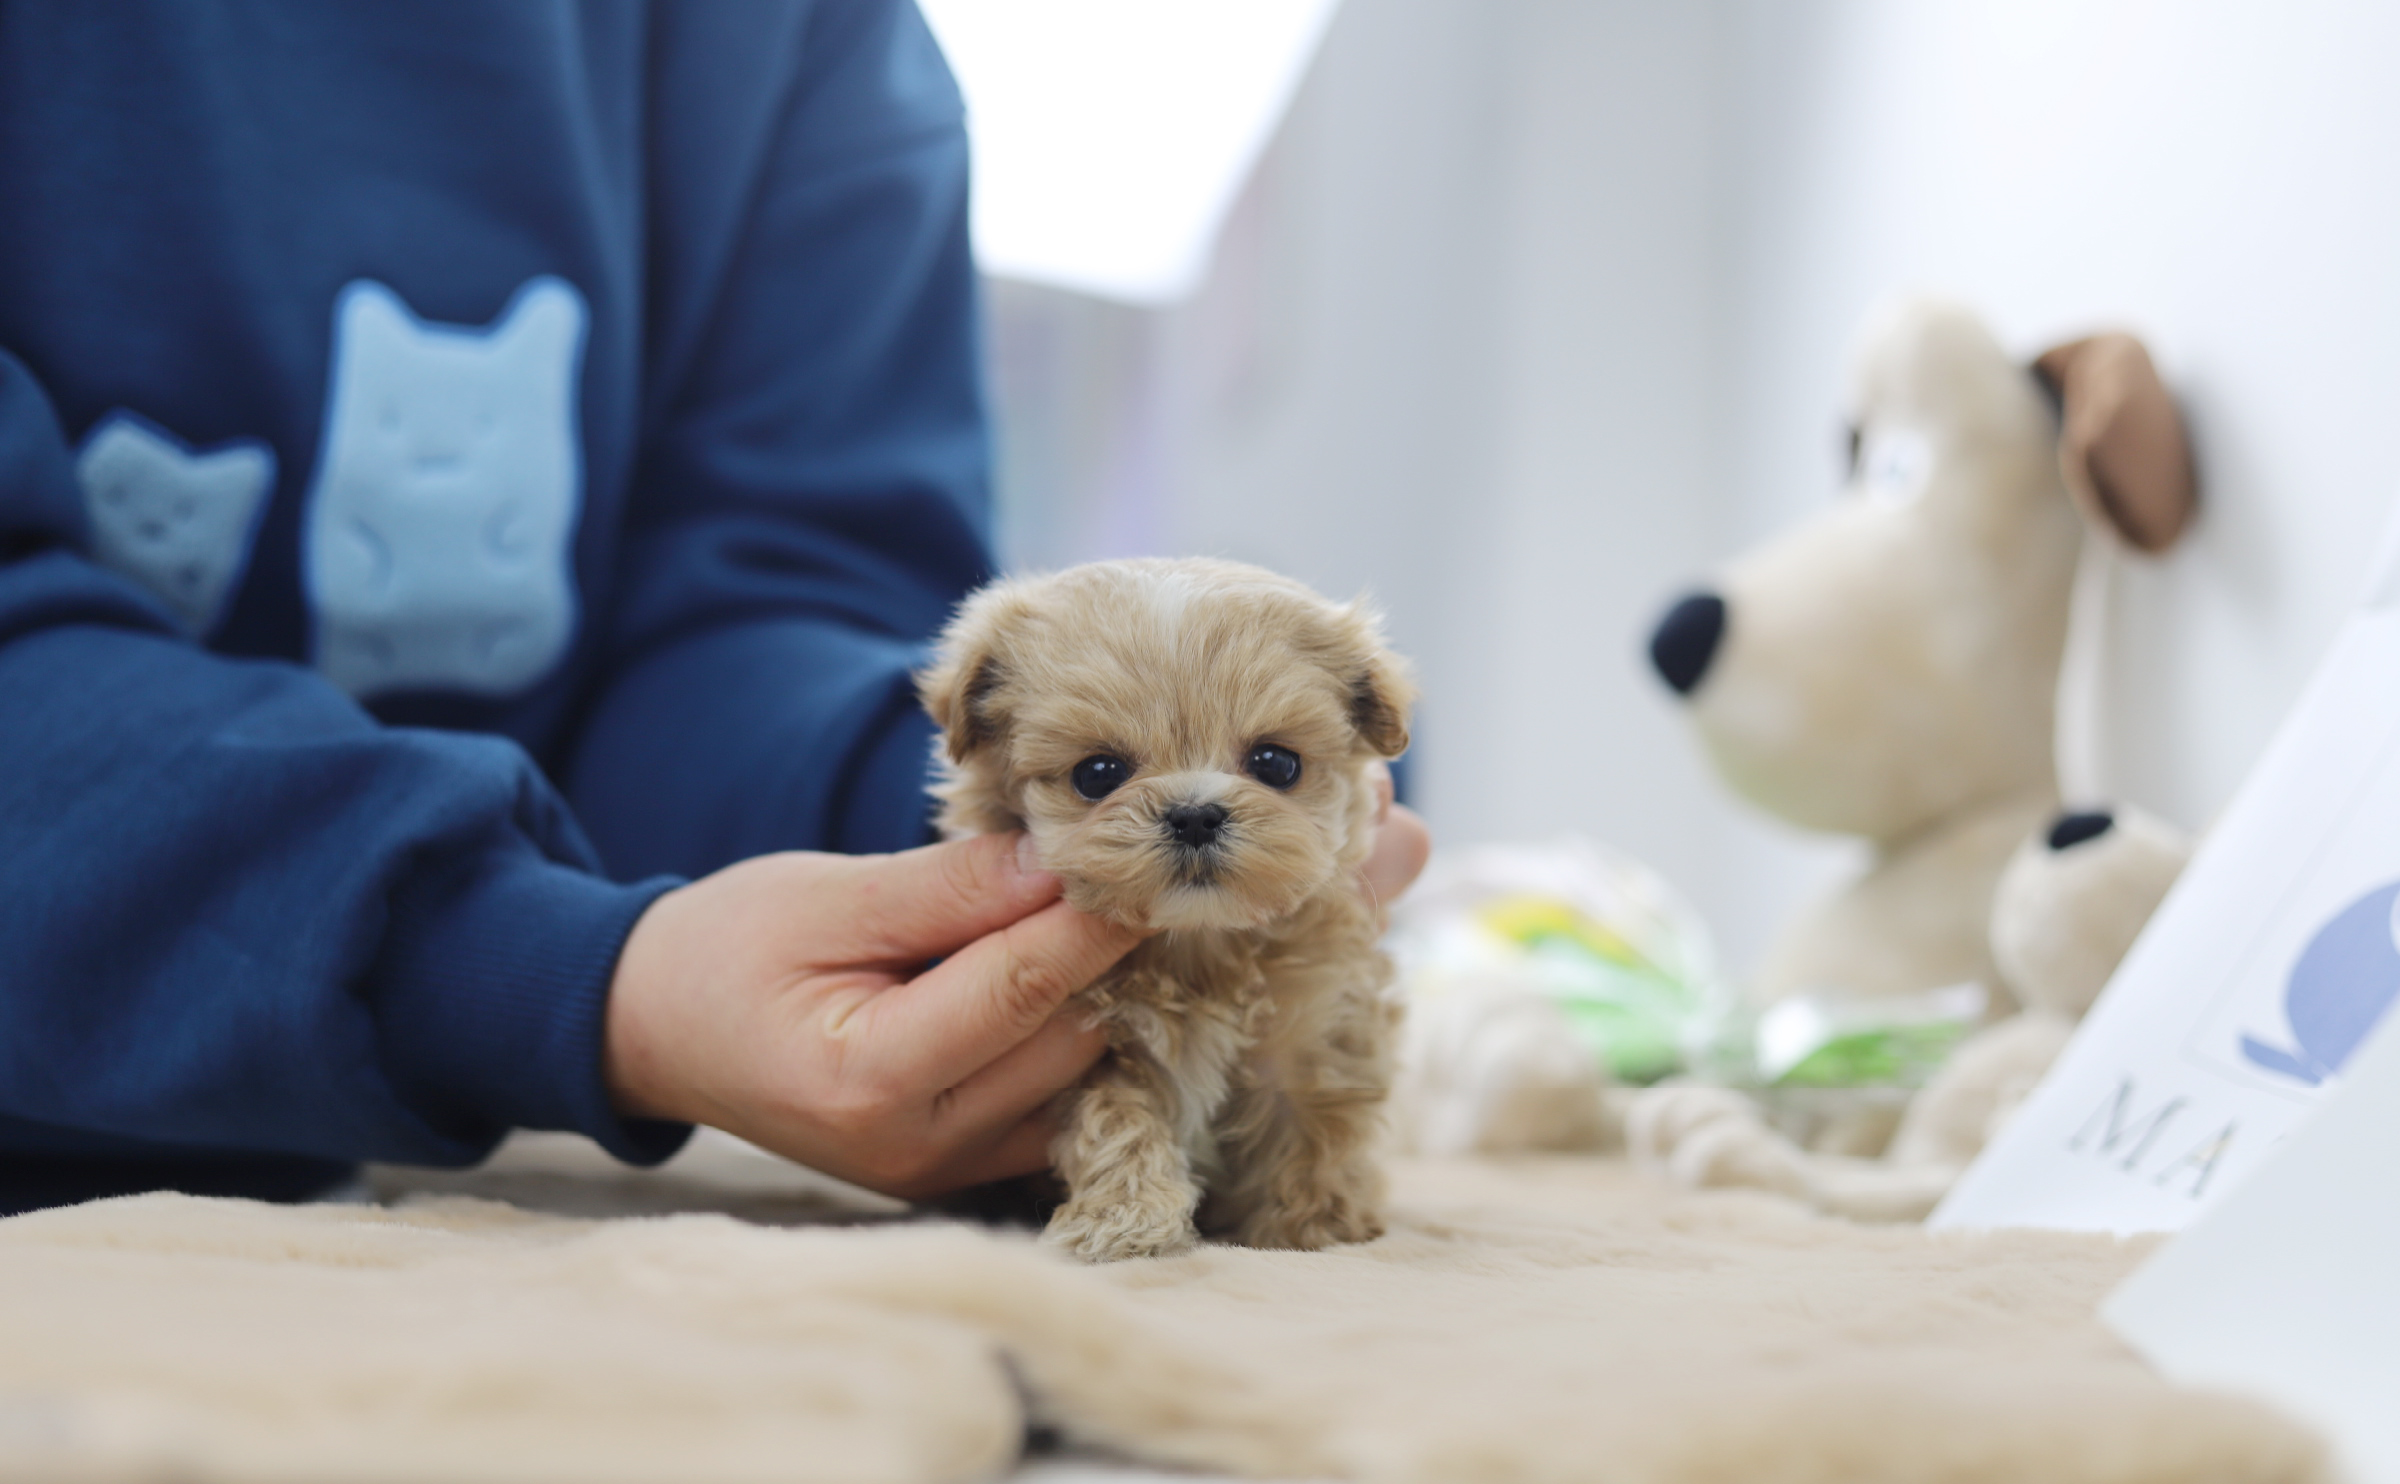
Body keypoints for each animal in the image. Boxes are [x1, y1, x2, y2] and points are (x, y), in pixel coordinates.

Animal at [912, 557, 1401, 1258]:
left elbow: (1312, 1123)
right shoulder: (1094, 1047)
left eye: (1276, 764)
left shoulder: (1315, 1024)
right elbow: (1118, 1120)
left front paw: (1312, 1225)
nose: (1195, 814)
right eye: (1097, 773)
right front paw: (1125, 1219)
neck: (1196, 946)